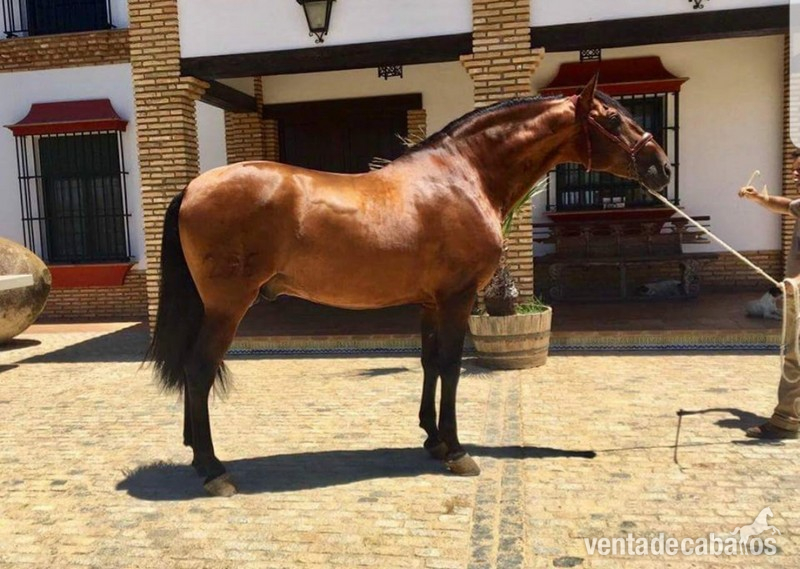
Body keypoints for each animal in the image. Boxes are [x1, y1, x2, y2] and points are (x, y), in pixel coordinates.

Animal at [146, 75, 671, 496]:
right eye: (612, 118)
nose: (661, 167)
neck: (463, 175)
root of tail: (192, 187)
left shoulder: (430, 302)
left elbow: (430, 363)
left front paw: (433, 439)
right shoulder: (459, 298)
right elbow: (451, 367)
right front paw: (457, 450)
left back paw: (195, 452)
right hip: (227, 307)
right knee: (198, 369)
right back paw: (213, 469)